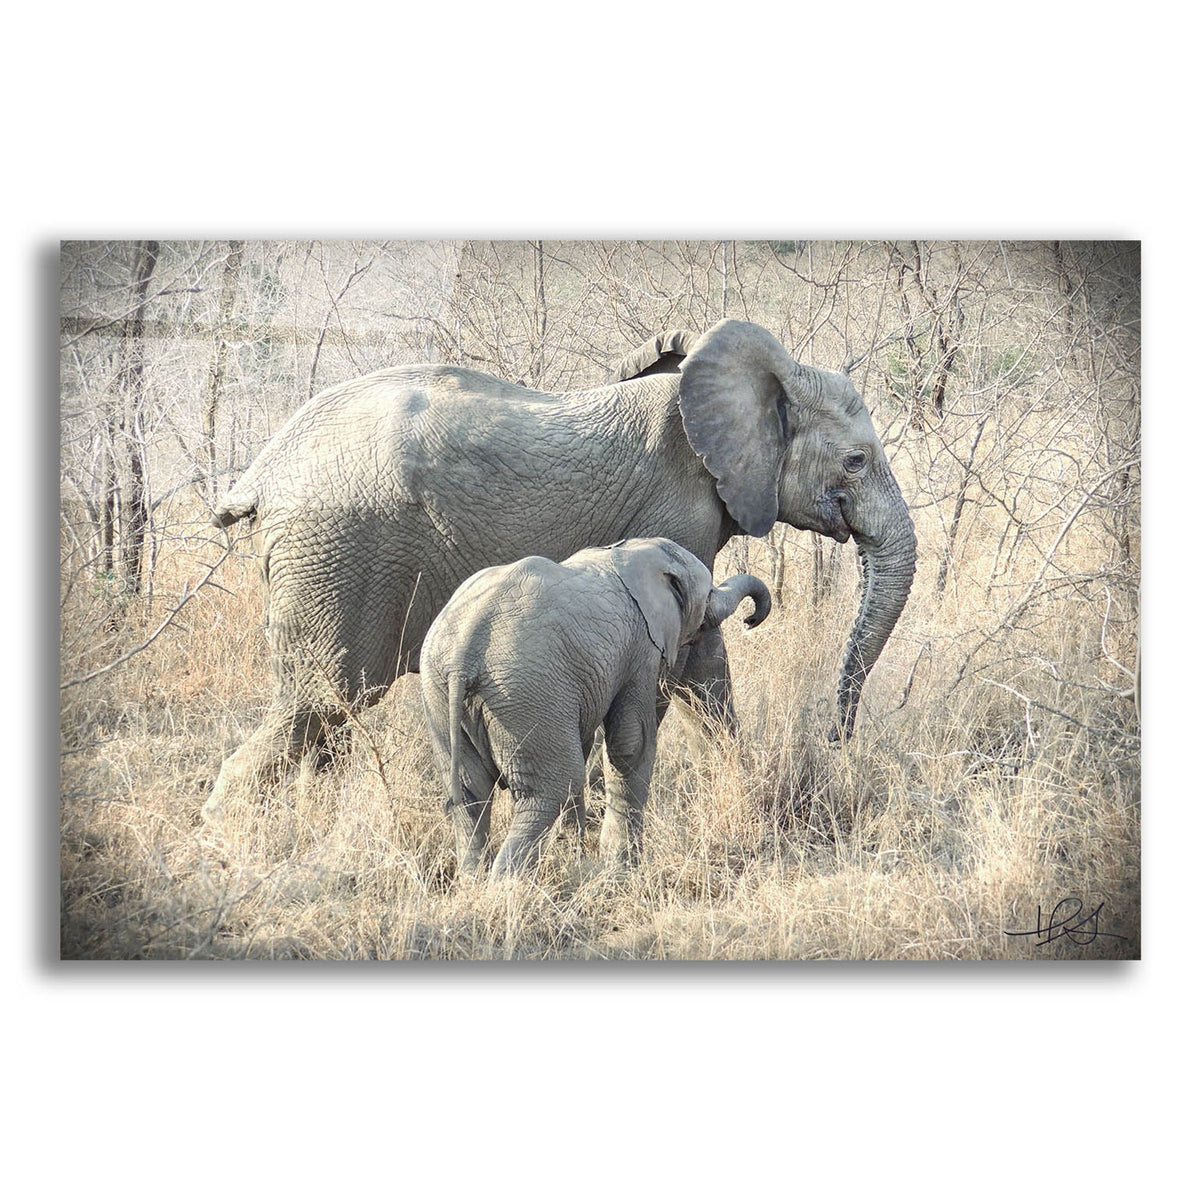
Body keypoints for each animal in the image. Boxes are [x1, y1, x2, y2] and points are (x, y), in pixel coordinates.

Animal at [205, 317, 916, 816]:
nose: (837, 740)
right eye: (856, 462)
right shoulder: (675, 510)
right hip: (340, 551)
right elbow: (684, 660)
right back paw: (224, 830)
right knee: (318, 705)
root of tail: (265, 470)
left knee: (322, 723)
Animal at [419, 538, 772, 877]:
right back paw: (507, 885)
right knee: (550, 790)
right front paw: (622, 870)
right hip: (523, 693)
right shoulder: (641, 650)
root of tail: (464, 654)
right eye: (709, 593)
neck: (631, 550)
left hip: (442, 696)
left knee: (470, 794)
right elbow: (631, 742)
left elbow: (589, 740)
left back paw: (473, 882)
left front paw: (577, 853)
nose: (750, 619)